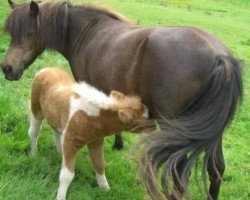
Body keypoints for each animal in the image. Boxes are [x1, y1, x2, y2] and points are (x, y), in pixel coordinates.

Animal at [27, 67, 148, 200]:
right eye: (142, 120)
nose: (155, 124)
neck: (93, 118)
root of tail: (47, 68)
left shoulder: (96, 141)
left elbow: (99, 164)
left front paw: (106, 189)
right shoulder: (70, 142)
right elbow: (67, 174)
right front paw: (61, 196)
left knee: (56, 131)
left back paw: (60, 152)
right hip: (36, 108)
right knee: (34, 131)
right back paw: (33, 154)